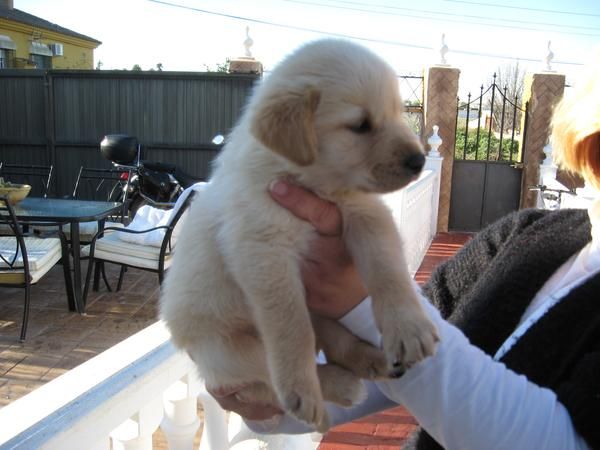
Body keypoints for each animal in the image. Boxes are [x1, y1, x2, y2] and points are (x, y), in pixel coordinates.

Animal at [162, 38, 438, 432]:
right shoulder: (264, 251)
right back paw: (334, 387)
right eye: (360, 126)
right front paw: (302, 389)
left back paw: (373, 361)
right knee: (263, 378)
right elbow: (292, 329)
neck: (313, 182)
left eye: (398, 113)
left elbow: (388, 272)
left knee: (334, 341)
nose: (418, 161)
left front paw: (409, 327)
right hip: (224, 349)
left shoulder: (366, 214)